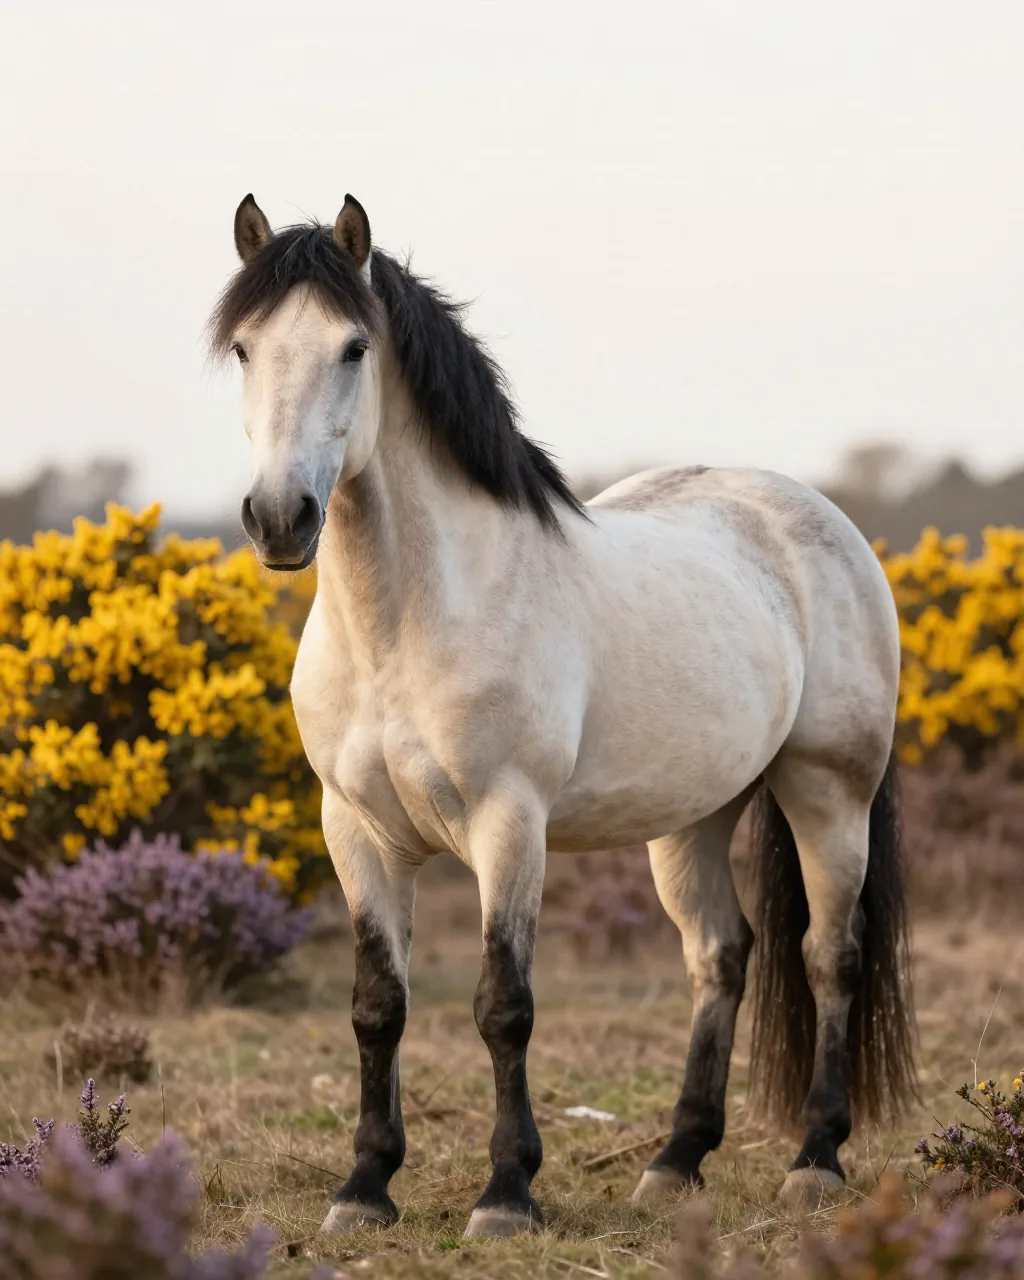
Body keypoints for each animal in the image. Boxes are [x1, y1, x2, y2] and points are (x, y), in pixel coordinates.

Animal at [208, 192, 916, 1239]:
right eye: (246, 349)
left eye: (352, 348)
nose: (280, 518)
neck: (407, 624)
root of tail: (822, 521)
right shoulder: (356, 830)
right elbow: (378, 1005)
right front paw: (364, 1188)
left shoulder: (510, 824)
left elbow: (504, 1005)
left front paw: (506, 1194)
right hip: (691, 819)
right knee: (722, 956)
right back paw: (674, 1162)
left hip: (829, 794)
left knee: (830, 956)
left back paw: (815, 1161)